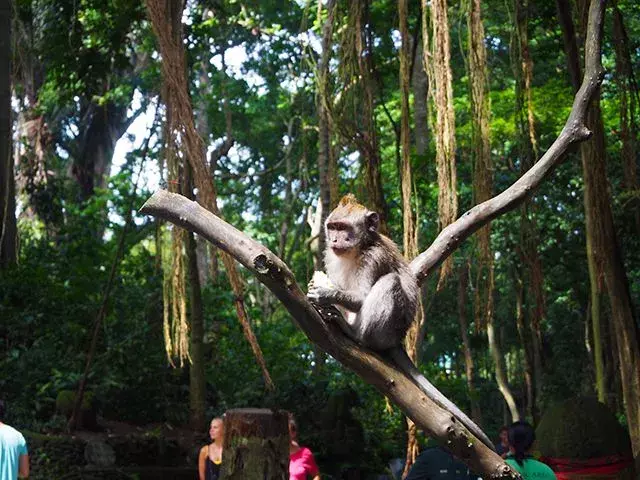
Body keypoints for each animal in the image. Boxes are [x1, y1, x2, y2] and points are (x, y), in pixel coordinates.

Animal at [308, 194, 492, 450]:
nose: (334, 239)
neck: (358, 249)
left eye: (343, 228)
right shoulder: (330, 255)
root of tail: (397, 339)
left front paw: (324, 293)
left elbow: (363, 296)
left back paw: (355, 334)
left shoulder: (374, 258)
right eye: (332, 227)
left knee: (389, 281)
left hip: (385, 330)